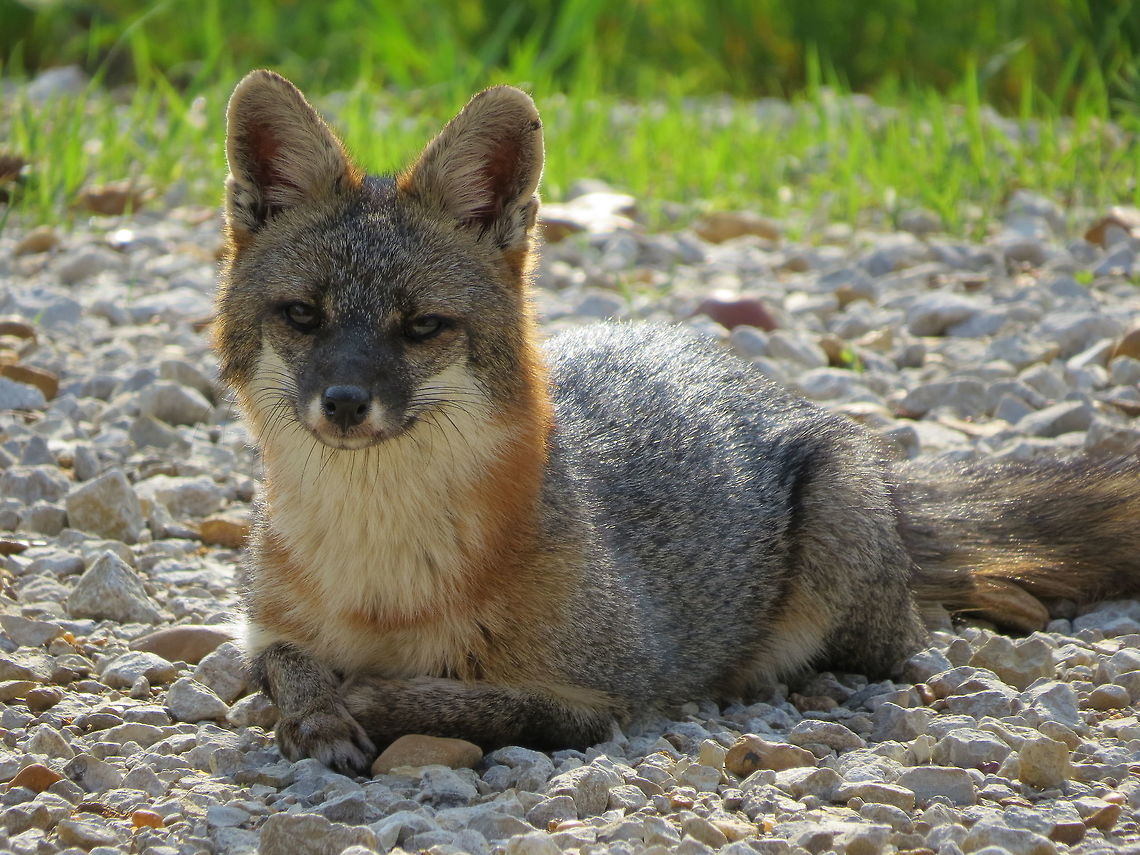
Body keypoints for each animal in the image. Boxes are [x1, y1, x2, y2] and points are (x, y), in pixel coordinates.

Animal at [215, 69, 1140, 776]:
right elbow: (282, 663)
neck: (380, 586)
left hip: (837, 556)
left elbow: (466, 698)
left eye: (421, 327)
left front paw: (363, 698)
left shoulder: (601, 695)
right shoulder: (264, 623)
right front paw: (319, 709)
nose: (343, 402)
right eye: (302, 315)